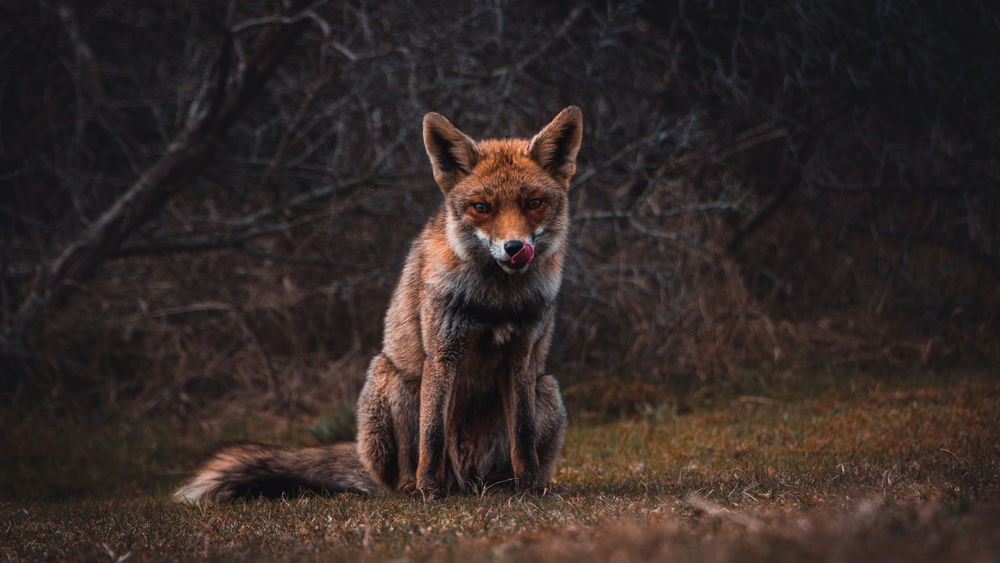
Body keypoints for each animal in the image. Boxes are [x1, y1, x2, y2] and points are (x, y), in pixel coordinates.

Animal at [175, 106, 583, 502]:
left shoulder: (522, 356)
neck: (496, 302)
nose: (515, 248)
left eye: (533, 203)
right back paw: (415, 488)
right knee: (408, 465)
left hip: (546, 388)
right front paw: (429, 493)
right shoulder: (443, 352)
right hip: (392, 380)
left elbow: (523, 436)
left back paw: (505, 484)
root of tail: (467, 481)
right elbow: (432, 435)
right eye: (482, 207)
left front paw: (531, 488)